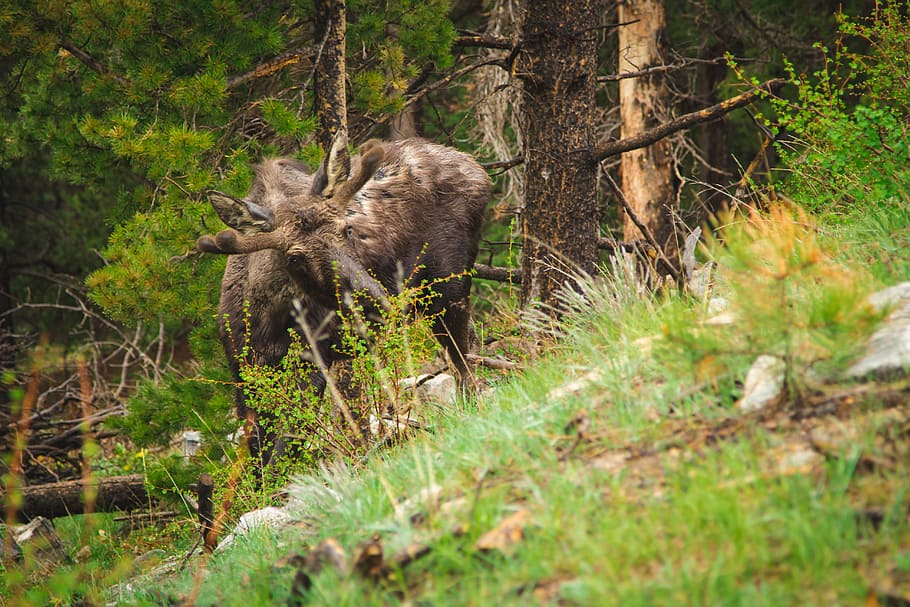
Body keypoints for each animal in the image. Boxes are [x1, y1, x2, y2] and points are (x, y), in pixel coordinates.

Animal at [197, 129, 491, 468]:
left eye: (347, 229)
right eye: (295, 258)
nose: (376, 301)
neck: (266, 324)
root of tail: (477, 168)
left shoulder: (320, 357)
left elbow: (293, 445)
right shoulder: (245, 375)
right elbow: (261, 456)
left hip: (449, 287)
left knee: (463, 360)